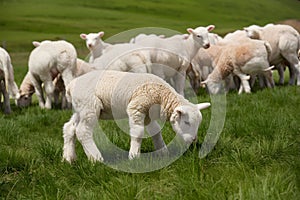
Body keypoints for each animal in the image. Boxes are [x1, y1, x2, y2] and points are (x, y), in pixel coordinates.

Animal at [62, 70, 210, 162]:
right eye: (186, 123)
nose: (193, 140)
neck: (161, 95)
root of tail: (70, 86)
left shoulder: (148, 115)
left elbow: (156, 131)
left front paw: (163, 153)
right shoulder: (136, 108)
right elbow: (138, 133)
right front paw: (133, 156)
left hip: (80, 109)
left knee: (69, 128)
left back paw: (69, 158)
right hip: (89, 106)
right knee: (82, 131)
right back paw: (96, 158)